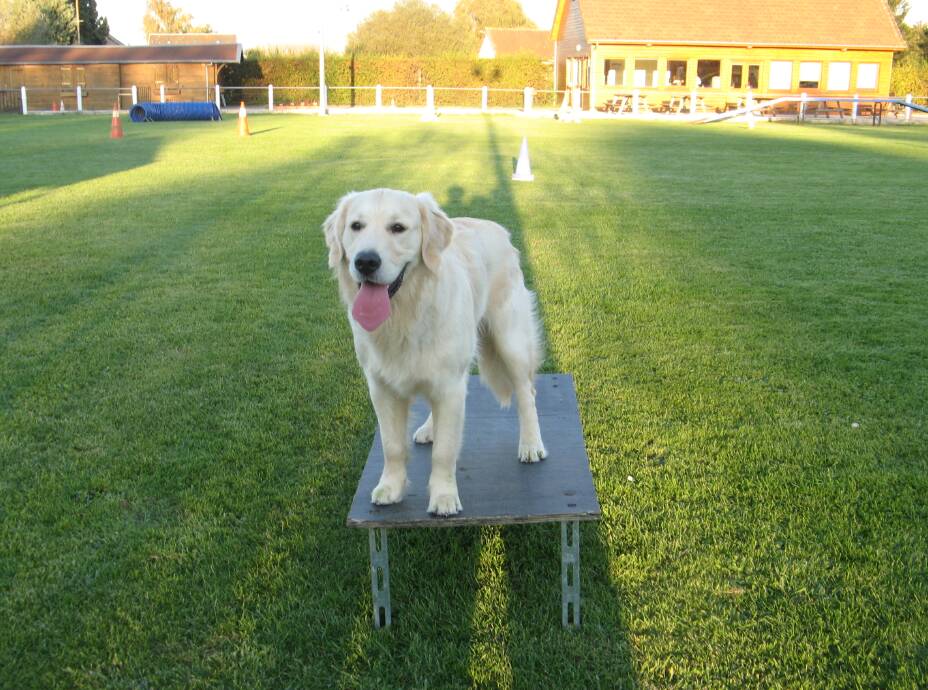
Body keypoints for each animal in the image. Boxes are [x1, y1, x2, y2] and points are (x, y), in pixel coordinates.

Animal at [324, 187, 548, 510]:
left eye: (398, 228)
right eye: (356, 226)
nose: (365, 262)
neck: (405, 316)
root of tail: (499, 230)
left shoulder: (450, 386)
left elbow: (445, 450)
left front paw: (444, 497)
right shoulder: (381, 387)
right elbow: (392, 445)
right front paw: (391, 487)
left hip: (511, 340)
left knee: (526, 392)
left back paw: (531, 444)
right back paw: (430, 428)